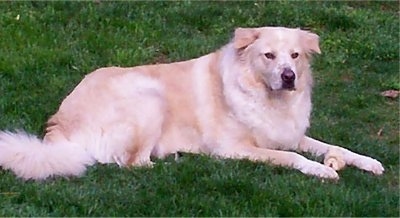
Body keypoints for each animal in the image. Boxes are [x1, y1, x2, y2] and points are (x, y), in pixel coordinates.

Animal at [0, 26, 384, 181]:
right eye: (268, 56)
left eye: (295, 56)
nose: (289, 77)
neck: (265, 97)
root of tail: (58, 128)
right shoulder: (235, 147)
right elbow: (291, 158)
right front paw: (321, 170)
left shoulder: (289, 134)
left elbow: (335, 147)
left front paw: (367, 162)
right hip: (150, 97)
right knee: (132, 164)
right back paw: (175, 162)